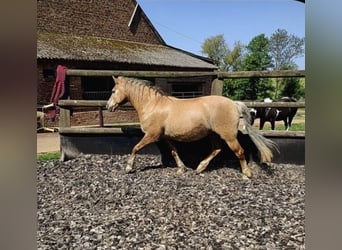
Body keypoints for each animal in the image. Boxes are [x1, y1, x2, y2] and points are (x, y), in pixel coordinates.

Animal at [107, 76, 278, 178]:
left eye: (113, 91)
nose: (109, 107)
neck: (153, 105)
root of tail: (233, 103)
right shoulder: (167, 137)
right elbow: (174, 152)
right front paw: (182, 168)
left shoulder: (151, 135)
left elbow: (135, 148)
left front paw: (128, 167)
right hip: (214, 134)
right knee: (217, 149)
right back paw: (200, 167)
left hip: (228, 136)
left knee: (240, 152)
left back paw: (246, 173)